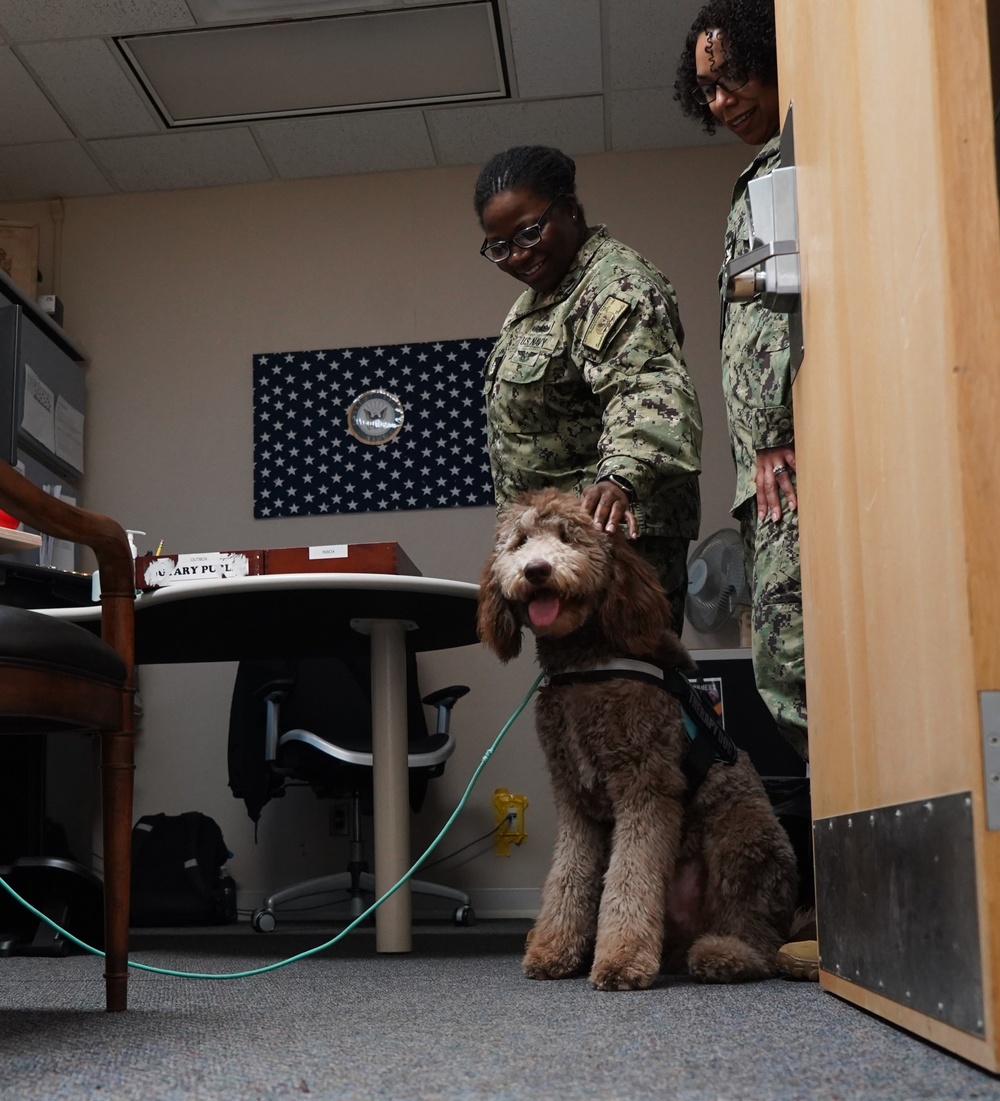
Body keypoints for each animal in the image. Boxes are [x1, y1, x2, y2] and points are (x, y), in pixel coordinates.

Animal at [480, 488, 801, 990]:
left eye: (569, 537)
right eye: (520, 542)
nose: (536, 570)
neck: (586, 663)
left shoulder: (645, 786)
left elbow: (631, 877)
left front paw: (622, 958)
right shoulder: (575, 797)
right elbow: (568, 875)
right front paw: (554, 947)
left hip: (743, 834)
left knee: (757, 932)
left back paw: (726, 953)